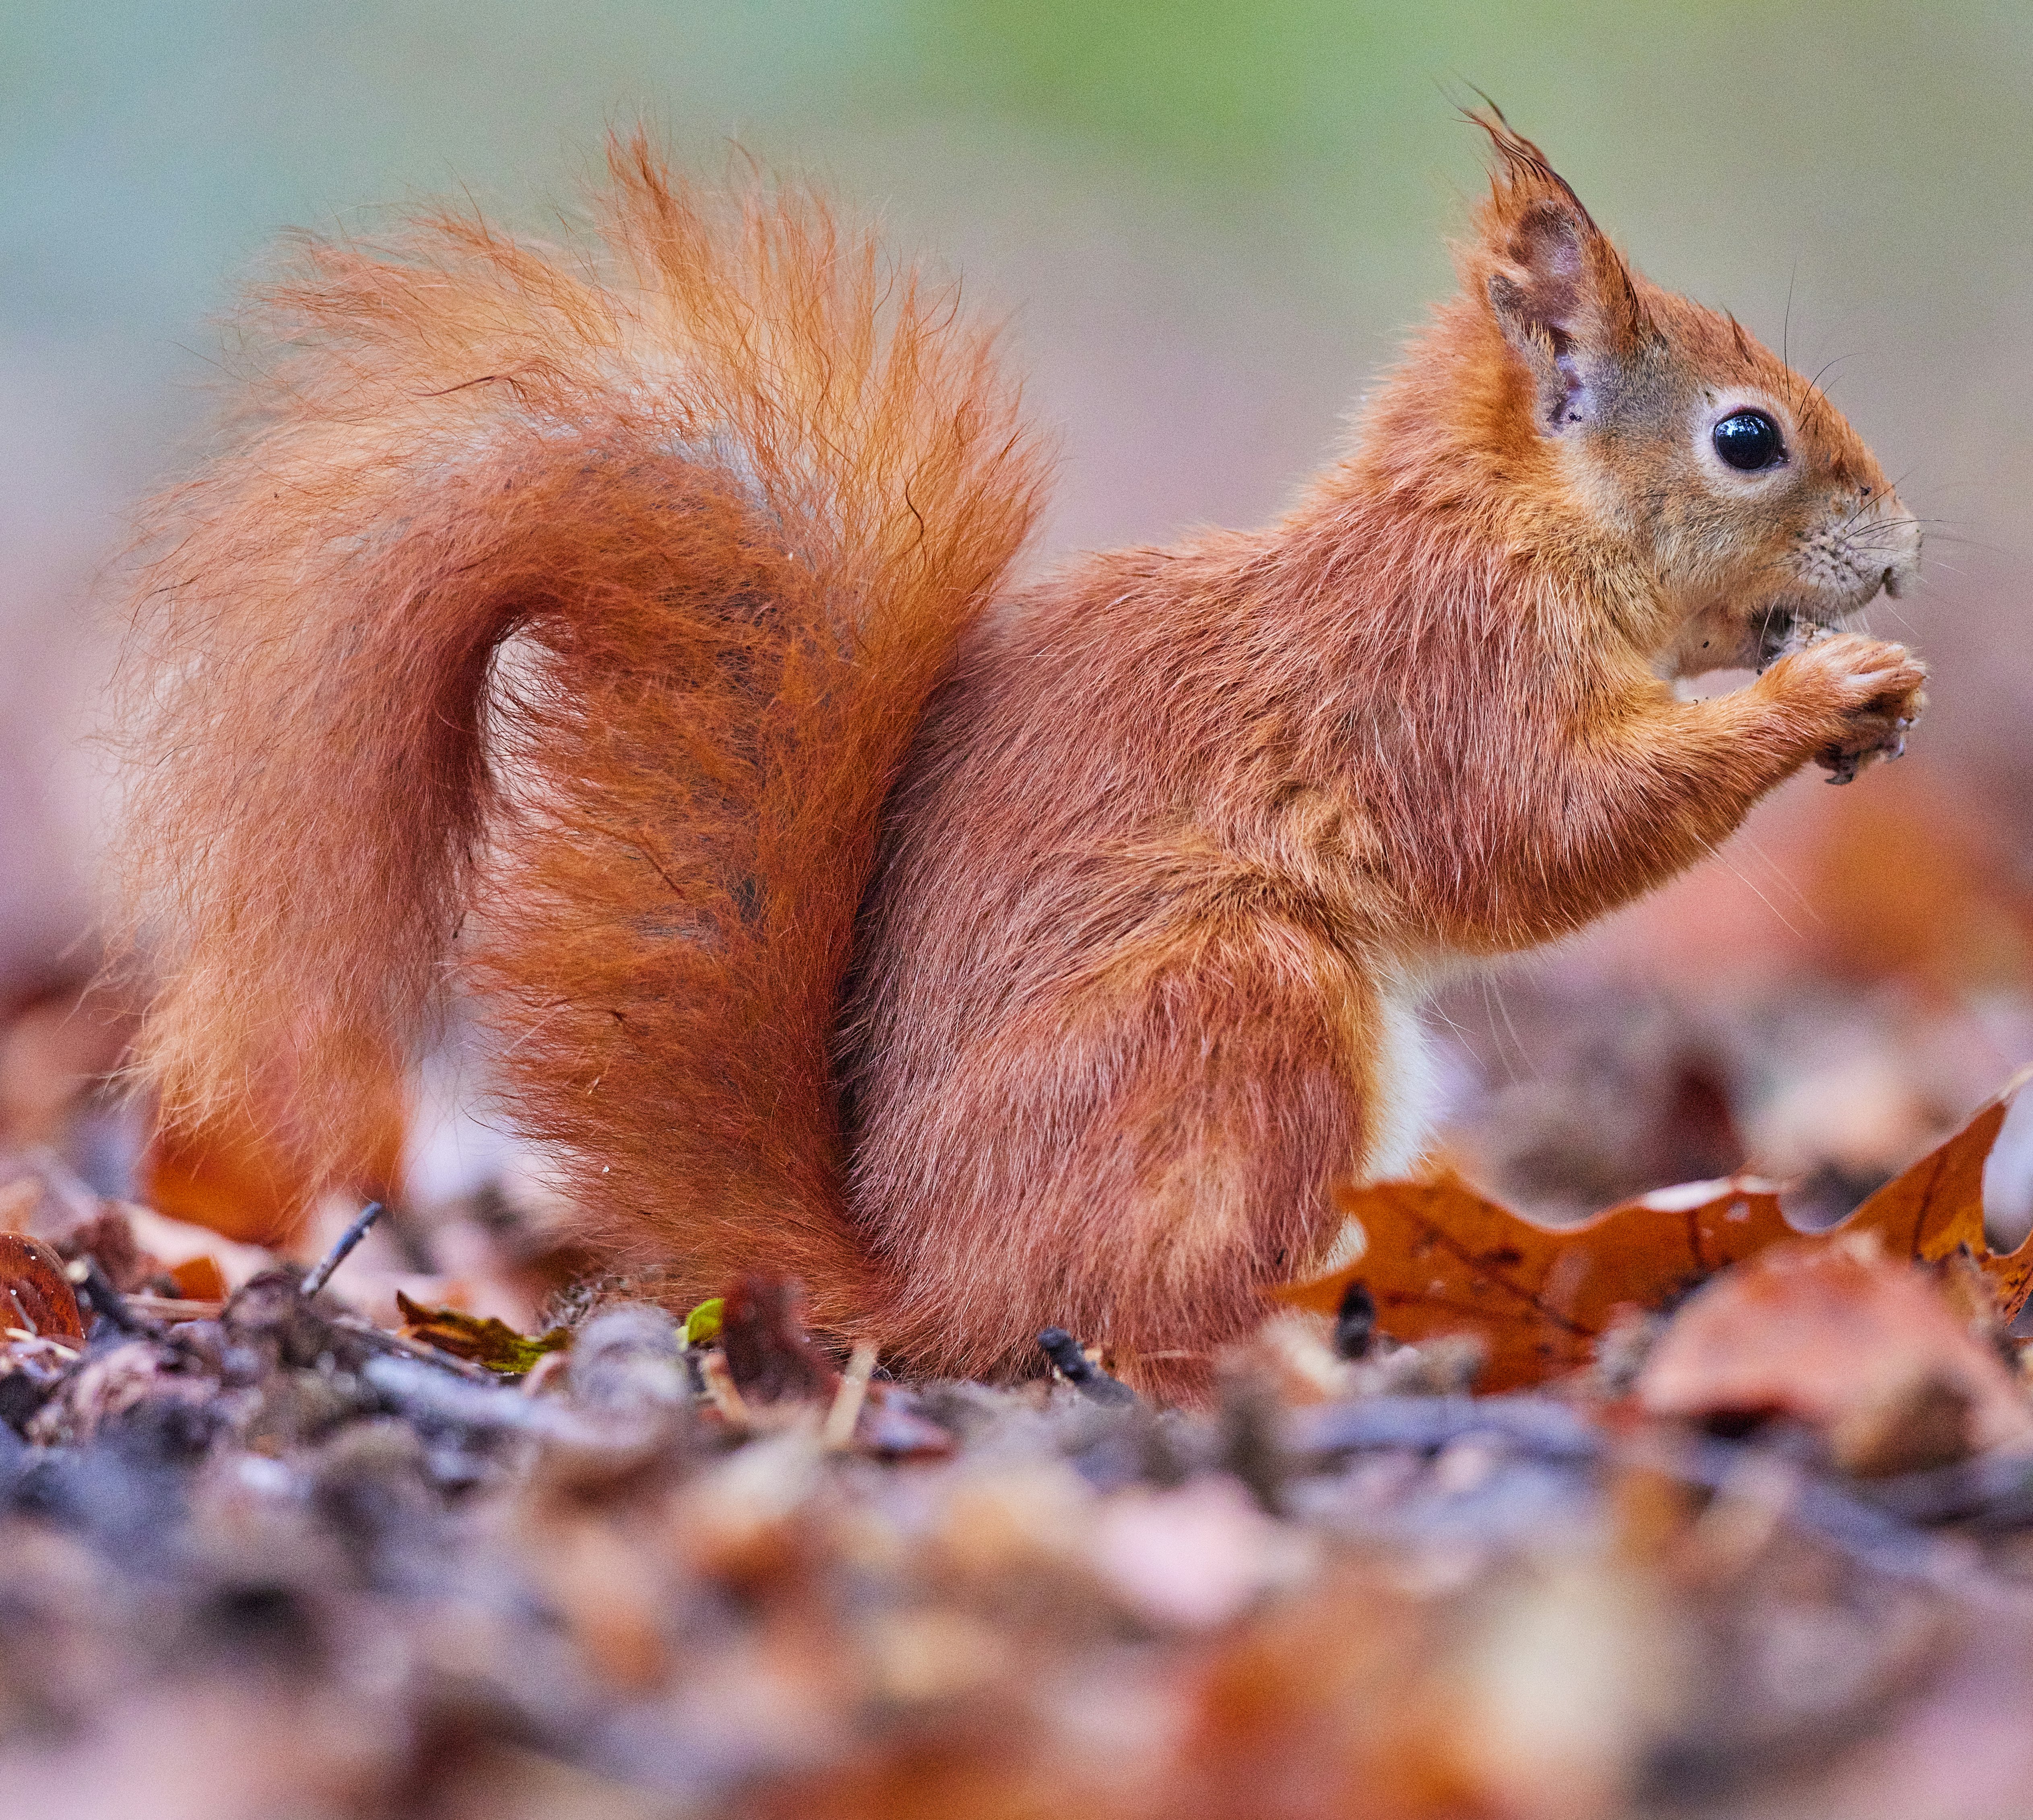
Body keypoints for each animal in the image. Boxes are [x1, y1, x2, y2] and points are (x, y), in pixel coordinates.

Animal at [119, 114, 1927, 1399]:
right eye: (1744, 439)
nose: (1903, 551)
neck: (1505, 525)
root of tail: (926, 1288)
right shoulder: (1437, 675)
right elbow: (1539, 831)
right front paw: (1822, 695)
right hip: (1244, 1006)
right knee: (1144, 1320)